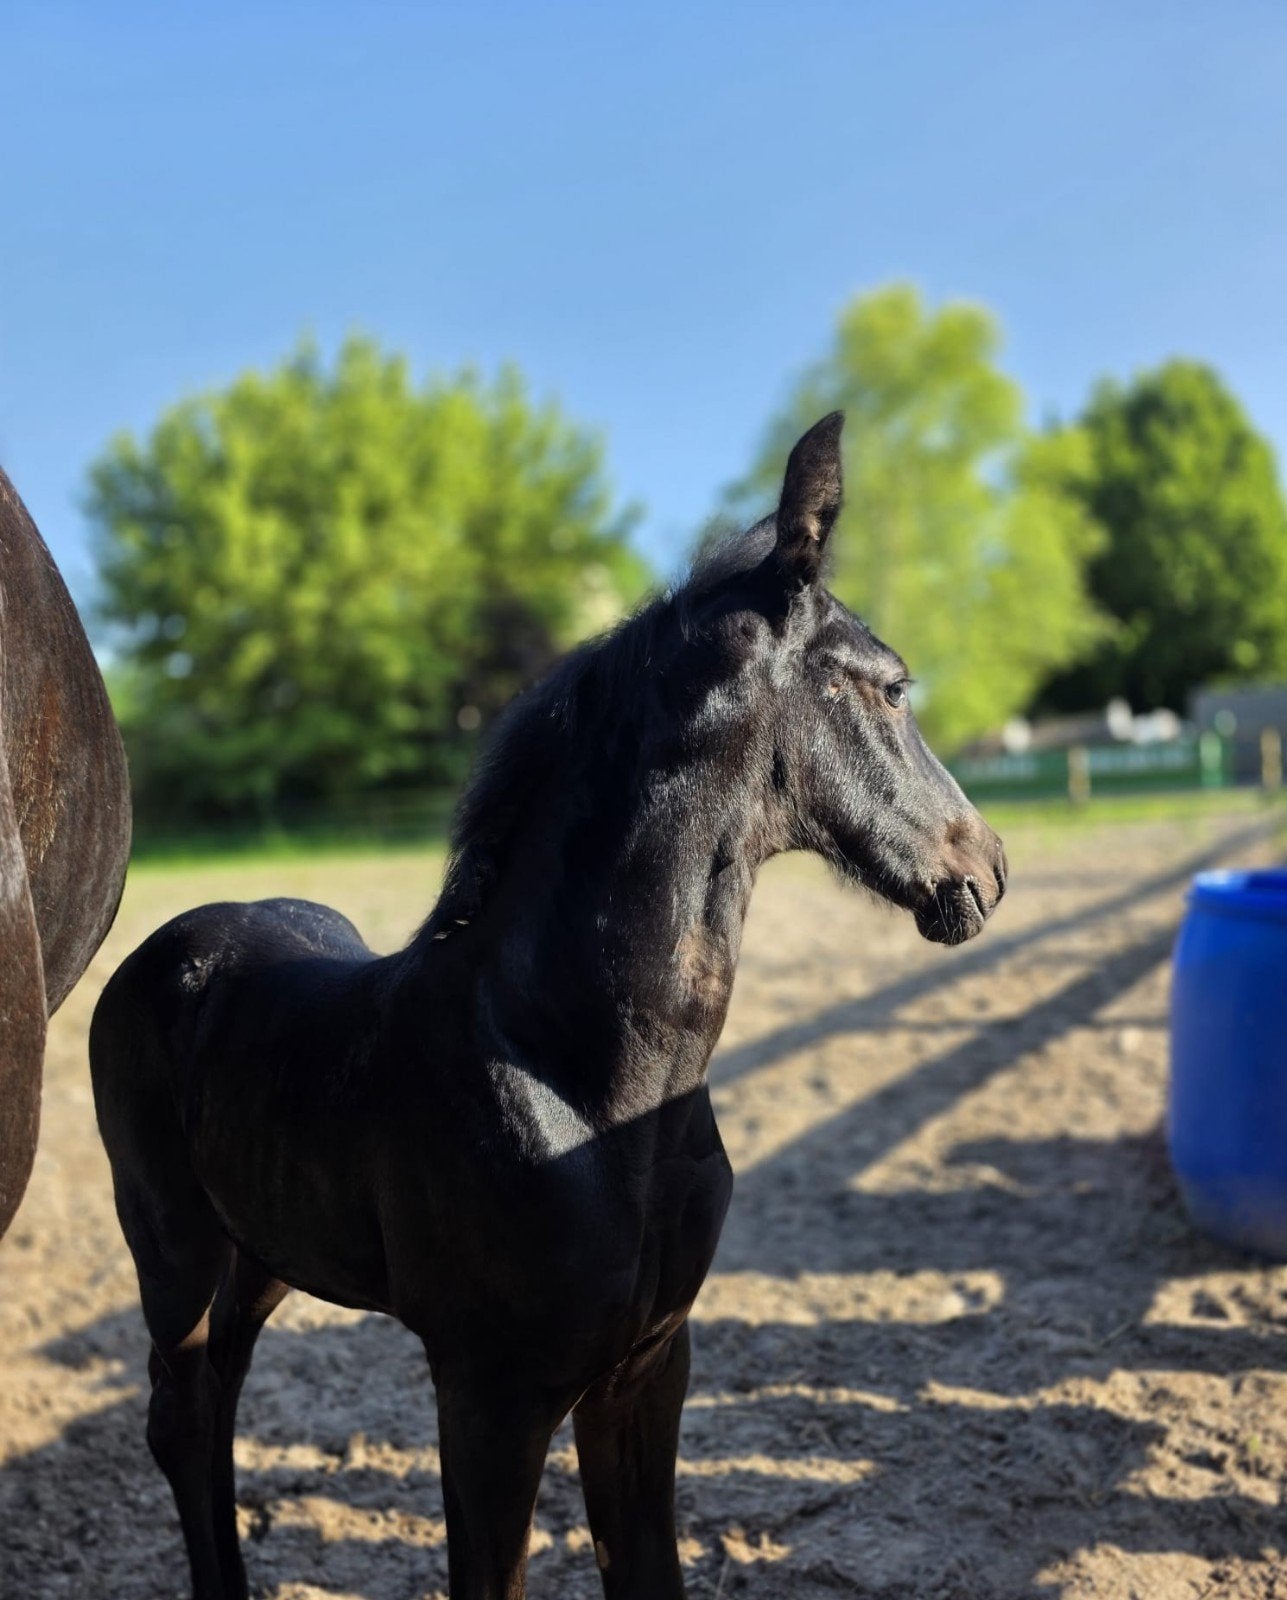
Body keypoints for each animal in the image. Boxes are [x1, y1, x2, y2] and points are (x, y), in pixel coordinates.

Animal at [90, 413, 1006, 1600]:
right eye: (892, 687)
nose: (987, 870)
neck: (580, 1077)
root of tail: (167, 948)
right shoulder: (491, 1392)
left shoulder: (648, 1365)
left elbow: (648, 1564)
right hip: (174, 1249)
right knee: (182, 1415)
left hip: (263, 1252)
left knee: (216, 1407)